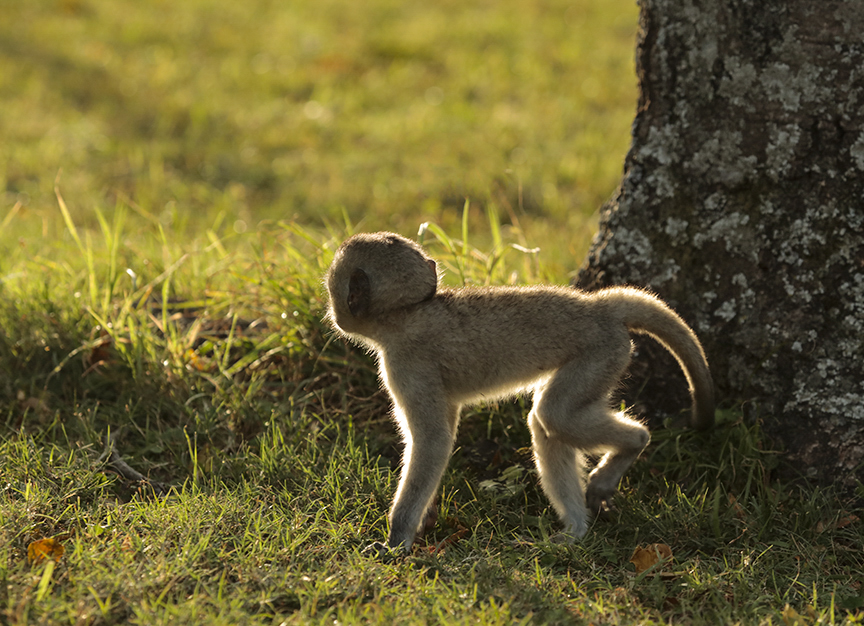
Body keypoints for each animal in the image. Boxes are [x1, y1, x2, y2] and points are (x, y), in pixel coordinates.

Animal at [326, 232, 716, 552]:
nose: (334, 315)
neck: (405, 315)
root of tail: (598, 306)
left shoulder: (406, 366)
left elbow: (433, 441)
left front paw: (396, 540)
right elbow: (440, 437)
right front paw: (426, 517)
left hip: (601, 352)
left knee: (554, 415)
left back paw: (633, 444)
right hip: (606, 356)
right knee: (546, 423)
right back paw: (577, 528)